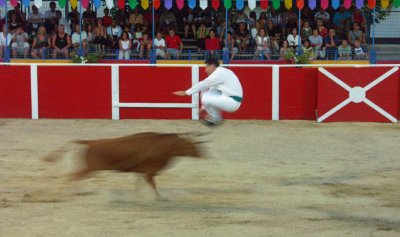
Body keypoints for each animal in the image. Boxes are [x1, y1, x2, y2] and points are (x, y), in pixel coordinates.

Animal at [45, 131, 205, 196]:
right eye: (191, 146)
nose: (202, 154)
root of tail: (89, 142)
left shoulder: (142, 171)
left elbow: (139, 182)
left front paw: (138, 194)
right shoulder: (149, 171)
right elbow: (152, 184)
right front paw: (158, 198)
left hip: (88, 168)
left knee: (74, 177)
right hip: (90, 168)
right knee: (71, 176)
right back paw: (59, 194)